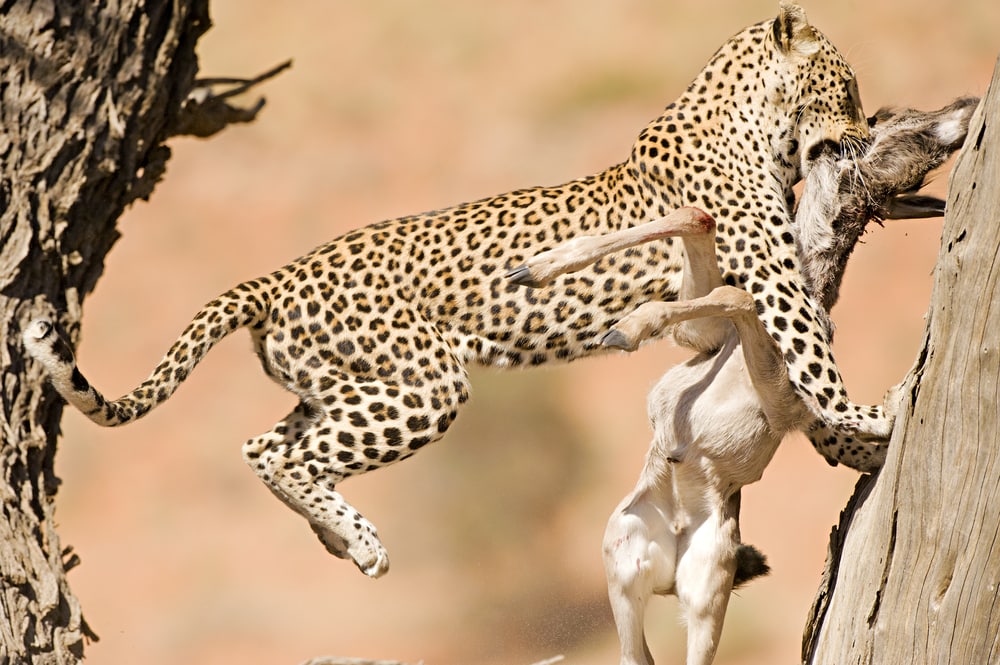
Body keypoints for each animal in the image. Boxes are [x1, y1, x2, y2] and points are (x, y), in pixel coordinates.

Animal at [23, 3, 879, 579]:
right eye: (848, 83)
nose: (867, 128)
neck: (755, 121)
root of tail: (278, 274)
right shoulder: (771, 278)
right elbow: (814, 358)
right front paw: (869, 419)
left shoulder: (707, 312)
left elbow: (759, 348)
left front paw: (850, 436)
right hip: (424, 384)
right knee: (288, 455)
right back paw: (362, 540)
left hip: (337, 385)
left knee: (263, 443)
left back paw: (343, 537)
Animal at [517, 97, 977, 665]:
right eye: (891, 121)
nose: (965, 110)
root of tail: (678, 535)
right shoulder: (705, 340)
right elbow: (698, 223)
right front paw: (539, 269)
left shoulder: (784, 405)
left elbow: (736, 295)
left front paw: (626, 325)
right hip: (624, 563)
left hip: (704, 599)